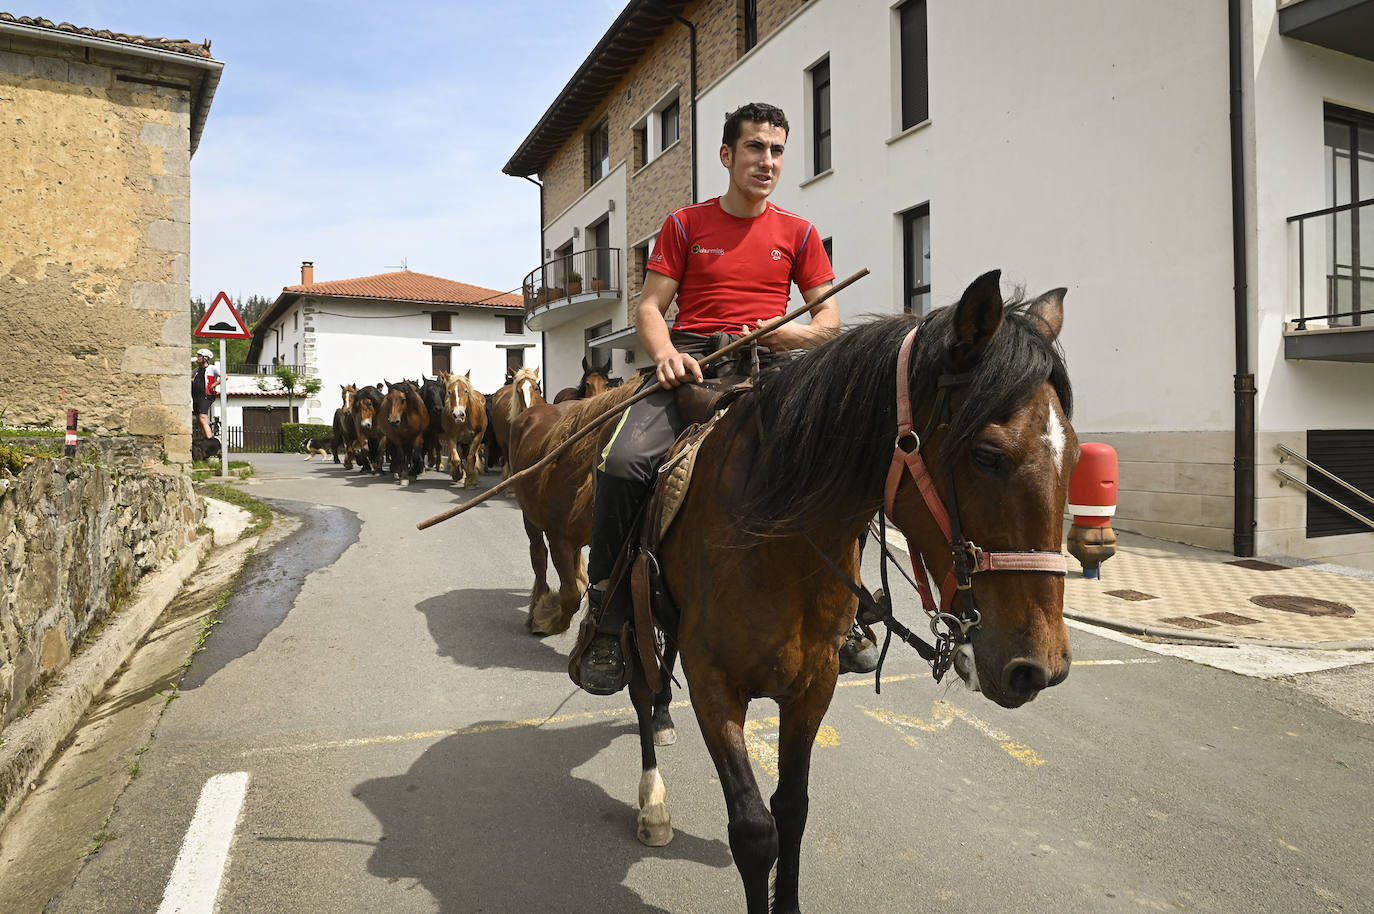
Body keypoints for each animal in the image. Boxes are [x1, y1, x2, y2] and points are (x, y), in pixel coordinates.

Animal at [618, 272, 1077, 912]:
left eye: (1076, 454)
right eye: (987, 455)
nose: (1041, 667)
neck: (770, 532)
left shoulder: (815, 682)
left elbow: (792, 810)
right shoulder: (713, 683)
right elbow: (754, 831)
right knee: (640, 690)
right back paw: (652, 800)